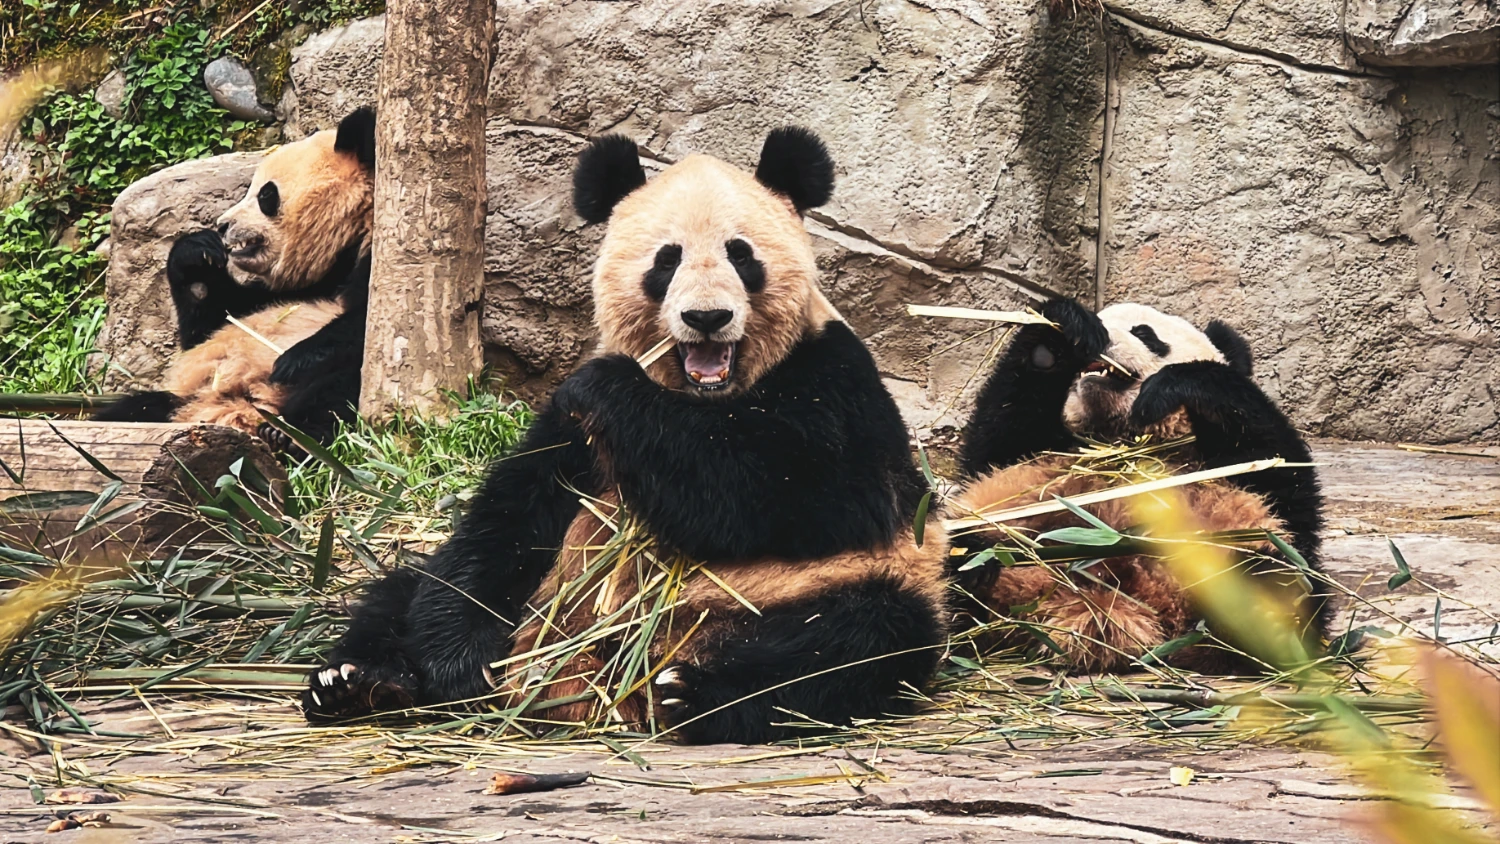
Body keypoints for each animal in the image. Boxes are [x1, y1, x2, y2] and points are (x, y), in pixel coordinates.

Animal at [94, 107, 376, 448]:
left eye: (266, 194)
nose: (223, 225)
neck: (352, 235)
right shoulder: (308, 282)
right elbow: (219, 318)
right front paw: (198, 254)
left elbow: (361, 325)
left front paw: (294, 359)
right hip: (181, 403)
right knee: (136, 409)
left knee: (338, 387)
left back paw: (290, 434)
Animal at [299, 128, 951, 744]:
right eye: (667, 260)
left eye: (741, 255)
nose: (707, 318)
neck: (703, 397)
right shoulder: (569, 435)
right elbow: (508, 518)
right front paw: (456, 662)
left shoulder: (837, 382)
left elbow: (794, 493)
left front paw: (614, 387)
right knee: (407, 588)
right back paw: (357, 682)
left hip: (838, 588)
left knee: (852, 643)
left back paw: (695, 693)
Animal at [947, 297, 1328, 673]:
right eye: (1100, 321)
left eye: (1145, 333)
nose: (1102, 342)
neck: (1122, 436)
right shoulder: (1034, 453)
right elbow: (997, 435)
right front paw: (1061, 331)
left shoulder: (1229, 469)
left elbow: (1283, 476)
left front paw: (1171, 385)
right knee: (960, 555)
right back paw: (972, 575)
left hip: (1228, 554)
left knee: (1274, 579)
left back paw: (1256, 621)